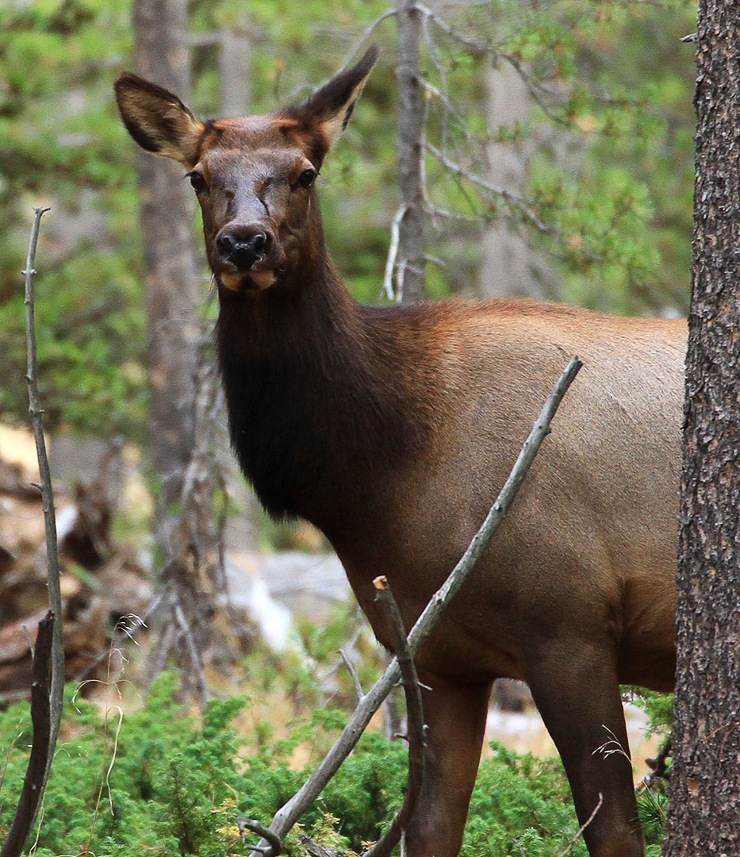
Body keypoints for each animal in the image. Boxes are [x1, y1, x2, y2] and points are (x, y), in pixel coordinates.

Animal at [117, 48, 688, 856]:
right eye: (198, 175)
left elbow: (613, 830)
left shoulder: (570, 625)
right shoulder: (436, 655)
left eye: (305, 172)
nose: (244, 242)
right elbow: (431, 826)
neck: (382, 477)